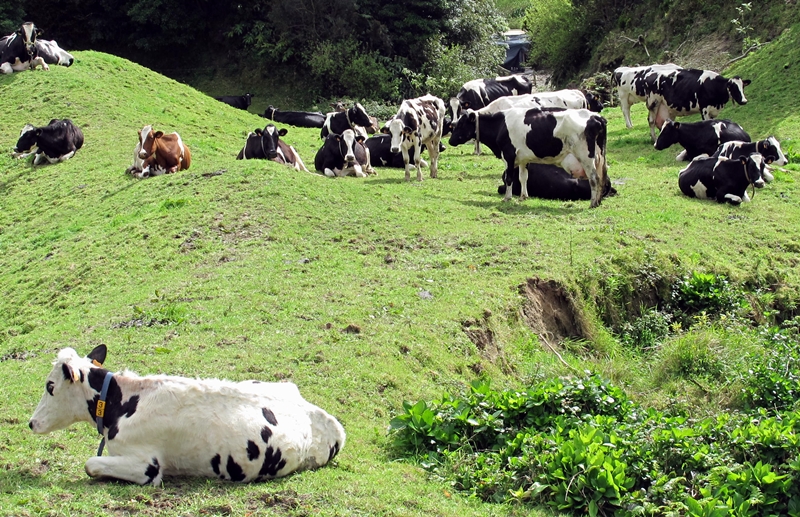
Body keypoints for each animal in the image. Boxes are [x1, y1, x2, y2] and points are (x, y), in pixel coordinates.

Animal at [450, 106, 608, 207]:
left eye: (461, 124)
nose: (450, 141)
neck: (501, 125)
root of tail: (596, 116)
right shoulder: (523, 159)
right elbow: (523, 177)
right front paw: (523, 196)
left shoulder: (508, 155)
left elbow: (508, 178)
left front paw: (507, 198)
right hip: (600, 158)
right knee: (602, 177)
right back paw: (598, 202)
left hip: (586, 157)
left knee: (594, 178)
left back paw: (593, 203)